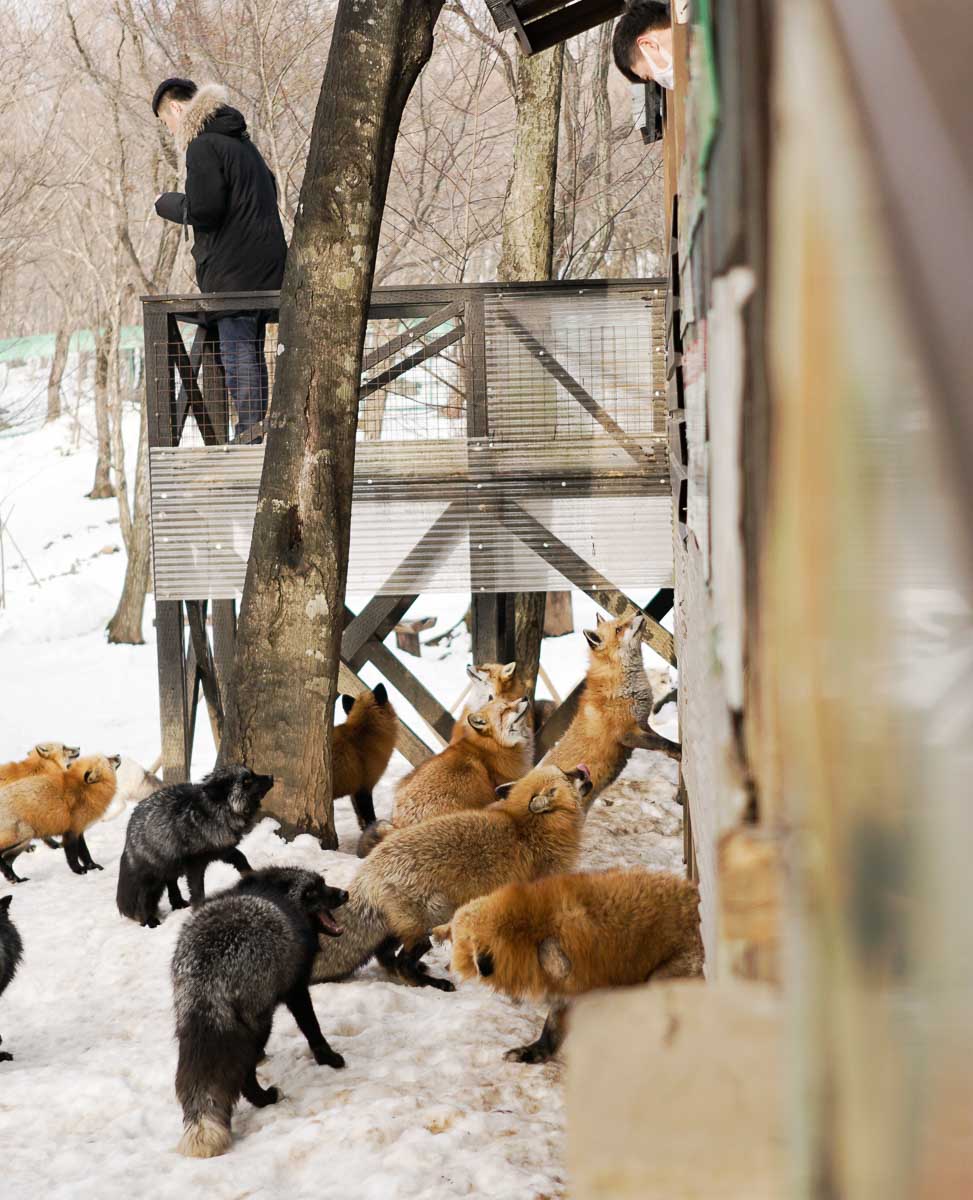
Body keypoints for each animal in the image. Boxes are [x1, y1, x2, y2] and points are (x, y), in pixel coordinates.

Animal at [0, 748, 120, 883]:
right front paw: (79, 871)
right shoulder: (71, 831)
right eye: (108, 760)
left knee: (7, 860)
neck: (84, 790)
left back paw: (15, 879)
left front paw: (93, 867)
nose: (118, 755)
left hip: (24, 841)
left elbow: (85, 854)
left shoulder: (79, 830)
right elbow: (73, 856)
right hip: (23, 834)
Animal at [439, 868, 700, 1065]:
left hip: (663, 981)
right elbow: (551, 1031)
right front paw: (532, 1053)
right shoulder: (569, 991)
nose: (444, 968)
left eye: (454, 941)